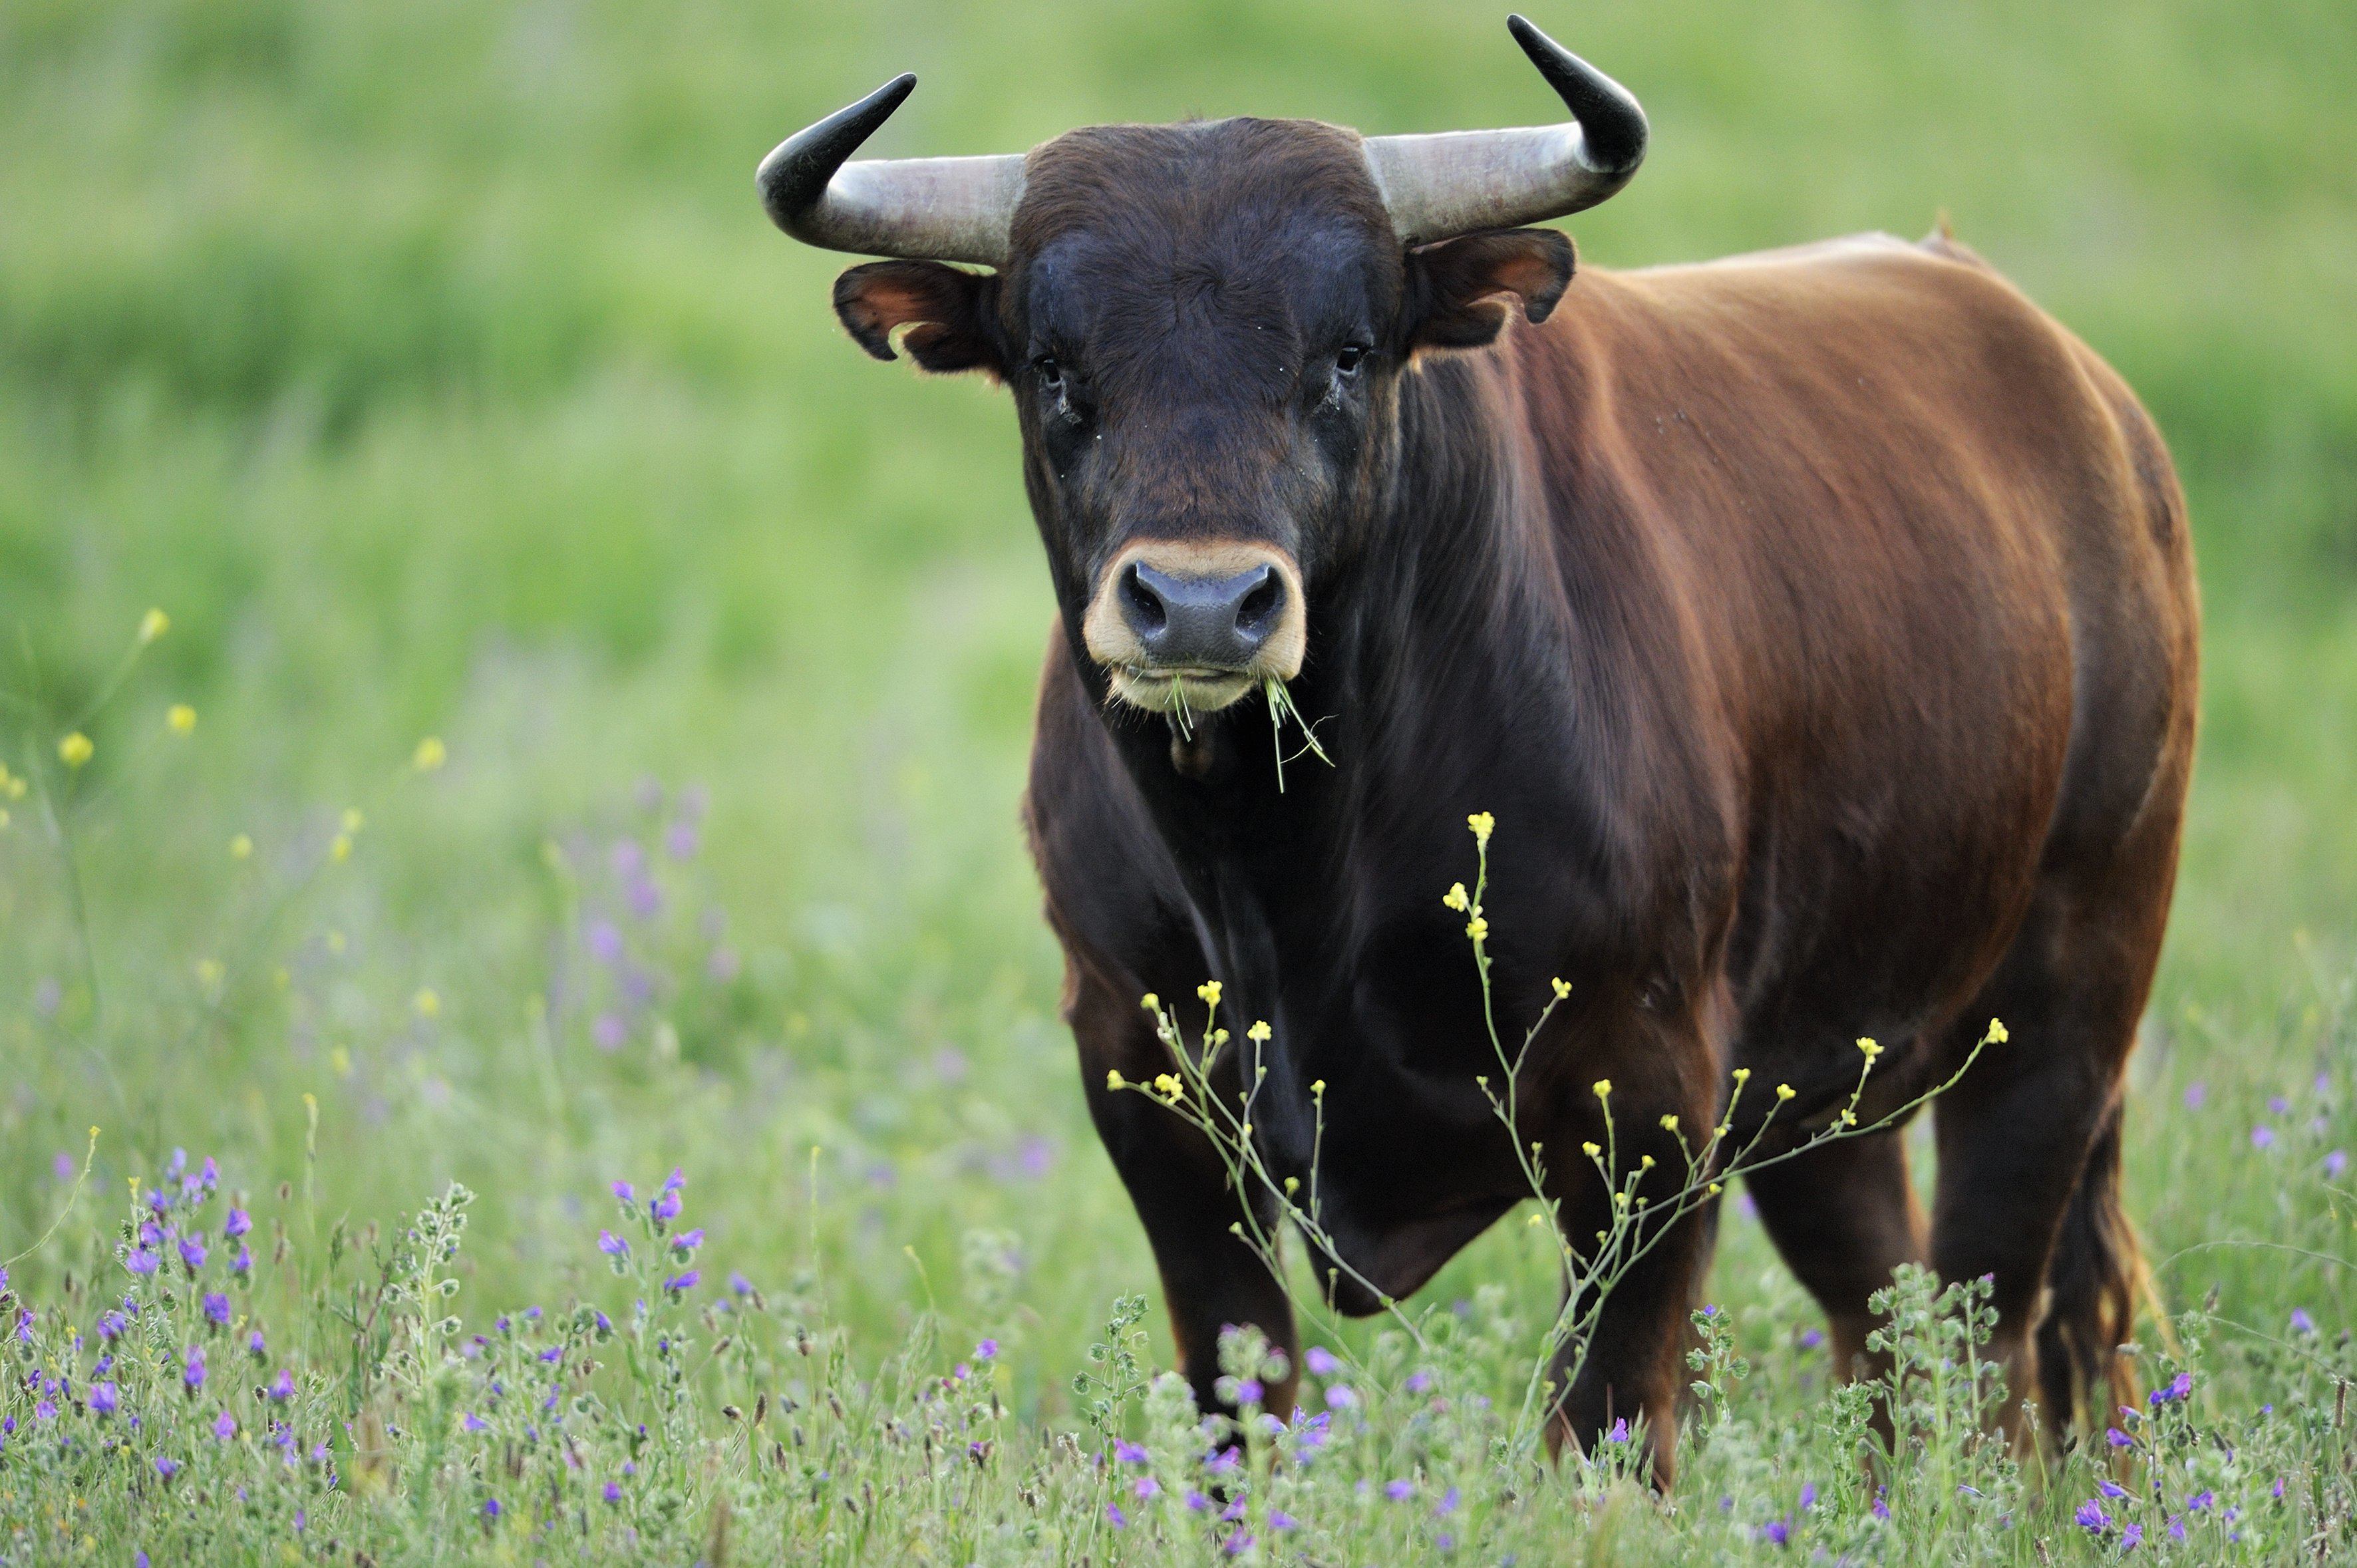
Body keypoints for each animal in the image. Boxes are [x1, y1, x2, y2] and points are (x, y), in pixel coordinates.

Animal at [756, 15, 2198, 1484]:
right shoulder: (1141, 1082)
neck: (1278, 867)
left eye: (1345, 352)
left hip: (2065, 1003)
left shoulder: (1648, 1104)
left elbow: (1605, 1427)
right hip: (1829, 1082)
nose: (1203, 604)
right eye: (1054, 364)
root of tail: (2084, 398)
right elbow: (1238, 1400)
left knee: (1995, 1339)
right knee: (1889, 1323)